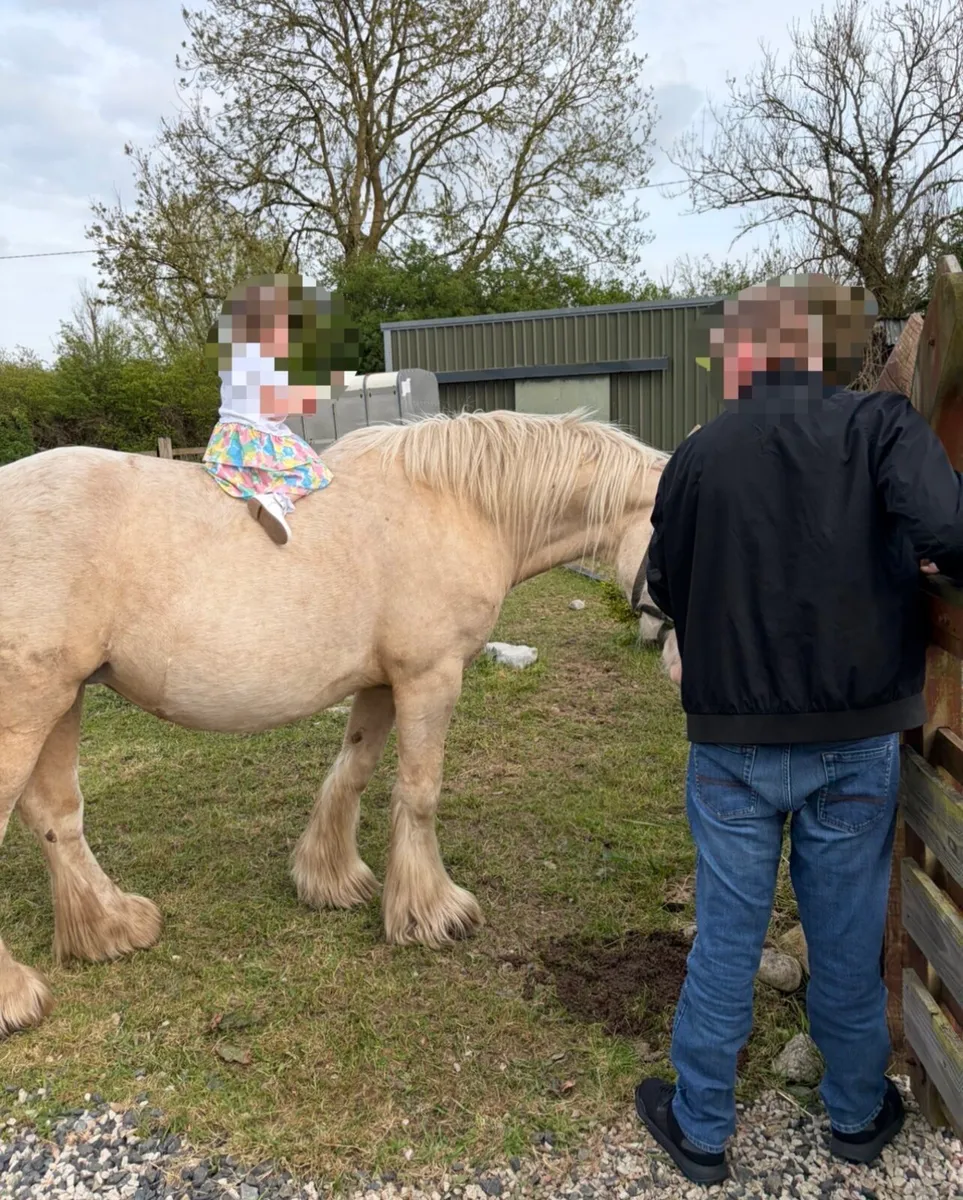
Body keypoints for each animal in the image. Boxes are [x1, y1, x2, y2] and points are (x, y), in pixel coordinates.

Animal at [0, 408, 667, 1037]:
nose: (667, 651)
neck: (459, 506)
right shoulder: (430, 677)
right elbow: (419, 793)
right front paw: (432, 913)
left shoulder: (380, 683)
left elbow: (353, 771)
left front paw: (331, 879)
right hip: (28, 711)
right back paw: (18, 996)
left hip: (63, 699)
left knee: (58, 817)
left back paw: (111, 927)